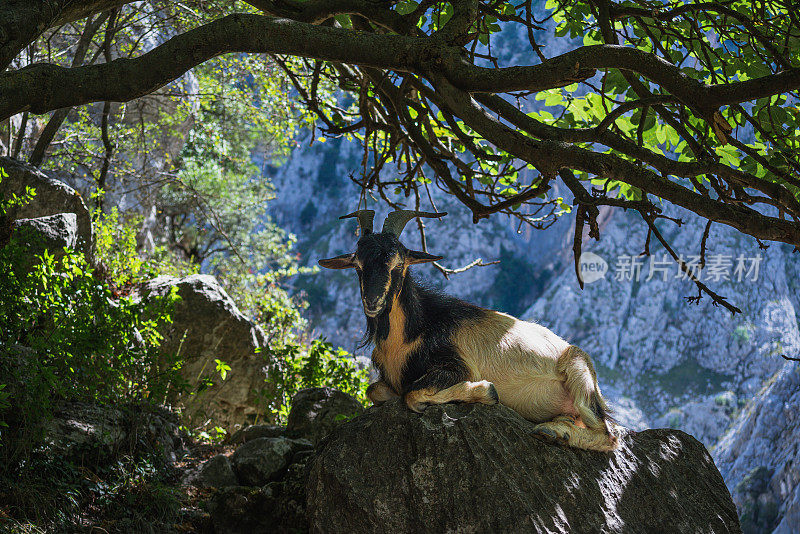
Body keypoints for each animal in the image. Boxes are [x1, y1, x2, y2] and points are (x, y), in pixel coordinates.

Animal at [318, 209, 620, 452]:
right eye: (357, 265)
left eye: (399, 264)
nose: (372, 302)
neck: (411, 333)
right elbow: (376, 391)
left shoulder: (456, 365)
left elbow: (413, 394)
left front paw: (484, 391)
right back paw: (558, 424)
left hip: (579, 373)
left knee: (609, 436)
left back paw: (555, 433)